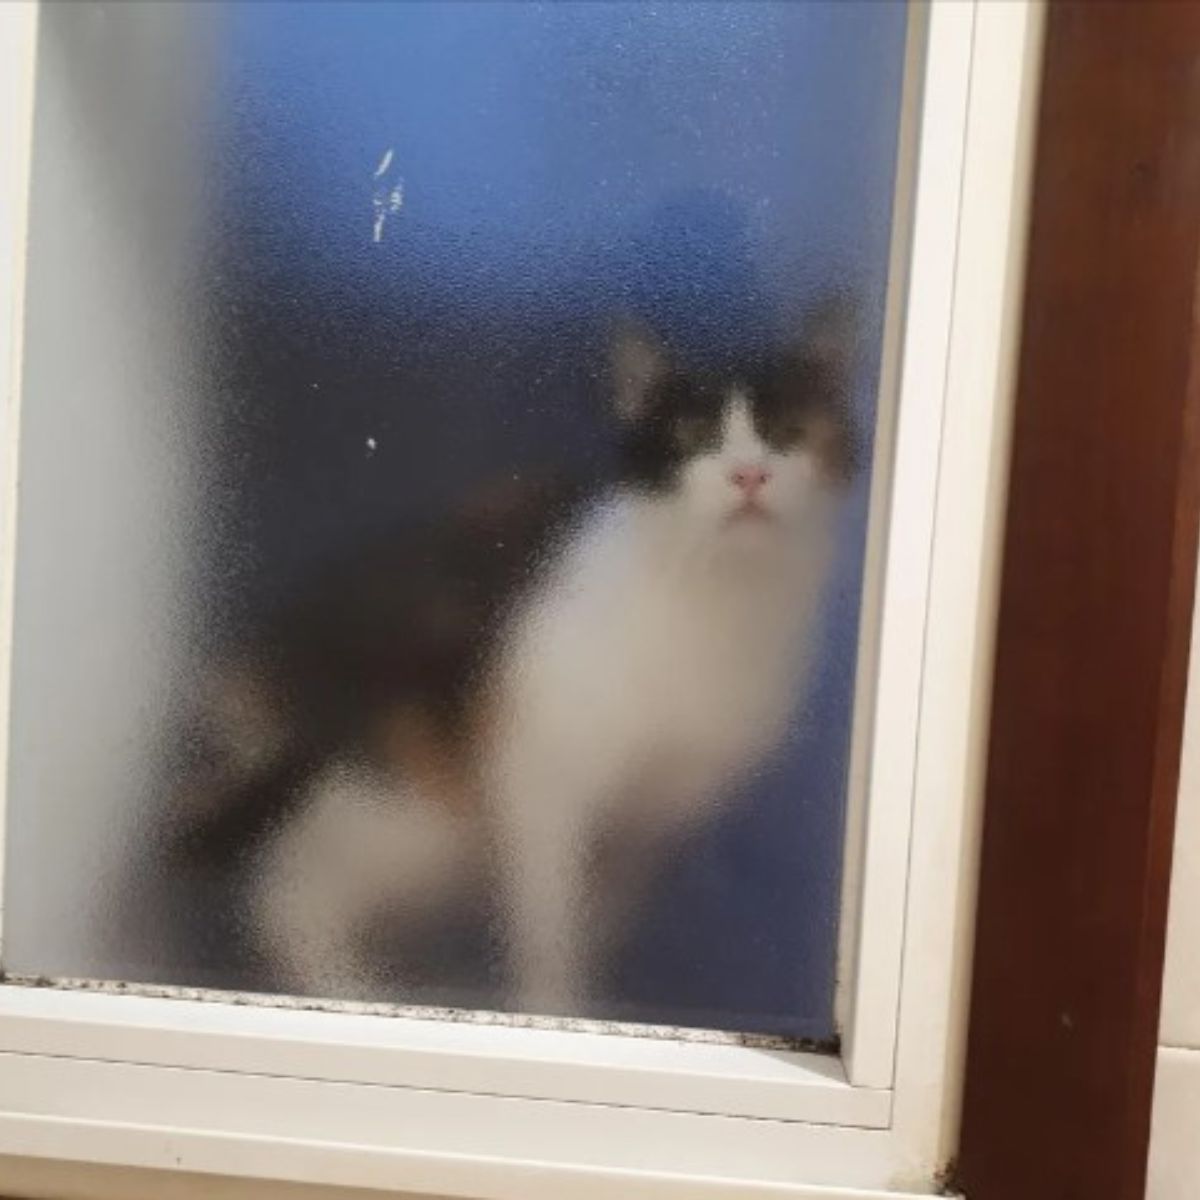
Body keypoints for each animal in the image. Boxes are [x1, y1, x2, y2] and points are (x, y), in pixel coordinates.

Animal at [174, 307, 859, 1012]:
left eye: (791, 431)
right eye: (693, 435)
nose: (749, 476)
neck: (722, 600)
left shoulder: (647, 829)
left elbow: (596, 923)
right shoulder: (540, 788)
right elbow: (550, 930)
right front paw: (552, 1009)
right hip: (415, 805)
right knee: (283, 895)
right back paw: (359, 989)